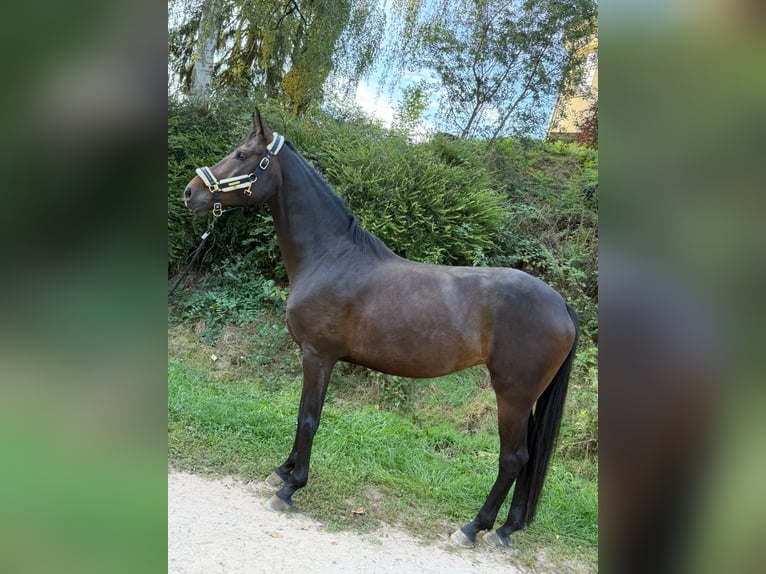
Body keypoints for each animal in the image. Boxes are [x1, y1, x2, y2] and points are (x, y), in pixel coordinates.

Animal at [183, 109, 579, 549]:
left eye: (241, 154)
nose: (189, 193)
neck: (331, 257)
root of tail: (561, 305)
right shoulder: (318, 358)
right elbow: (303, 414)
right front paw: (282, 471)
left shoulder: (318, 356)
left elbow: (309, 417)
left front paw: (290, 488)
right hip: (527, 399)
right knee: (528, 461)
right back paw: (507, 529)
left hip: (512, 395)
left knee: (513, 459)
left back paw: (473, 528)